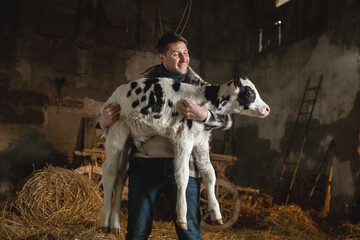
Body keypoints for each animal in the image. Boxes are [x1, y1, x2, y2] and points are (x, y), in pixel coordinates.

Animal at [100, 76, 268, 233]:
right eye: (249, 92)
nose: (267, 109)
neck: (203, 99)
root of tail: (116, 92)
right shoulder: (183, 139)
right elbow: (182, 176)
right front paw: (181, 216)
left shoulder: (201, 142)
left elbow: (210, 174)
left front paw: (216, 213)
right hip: (116, 132)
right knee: (109, 172)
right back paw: (105, 221)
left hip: (127, 138)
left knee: (121, 176)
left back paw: (115, 225)